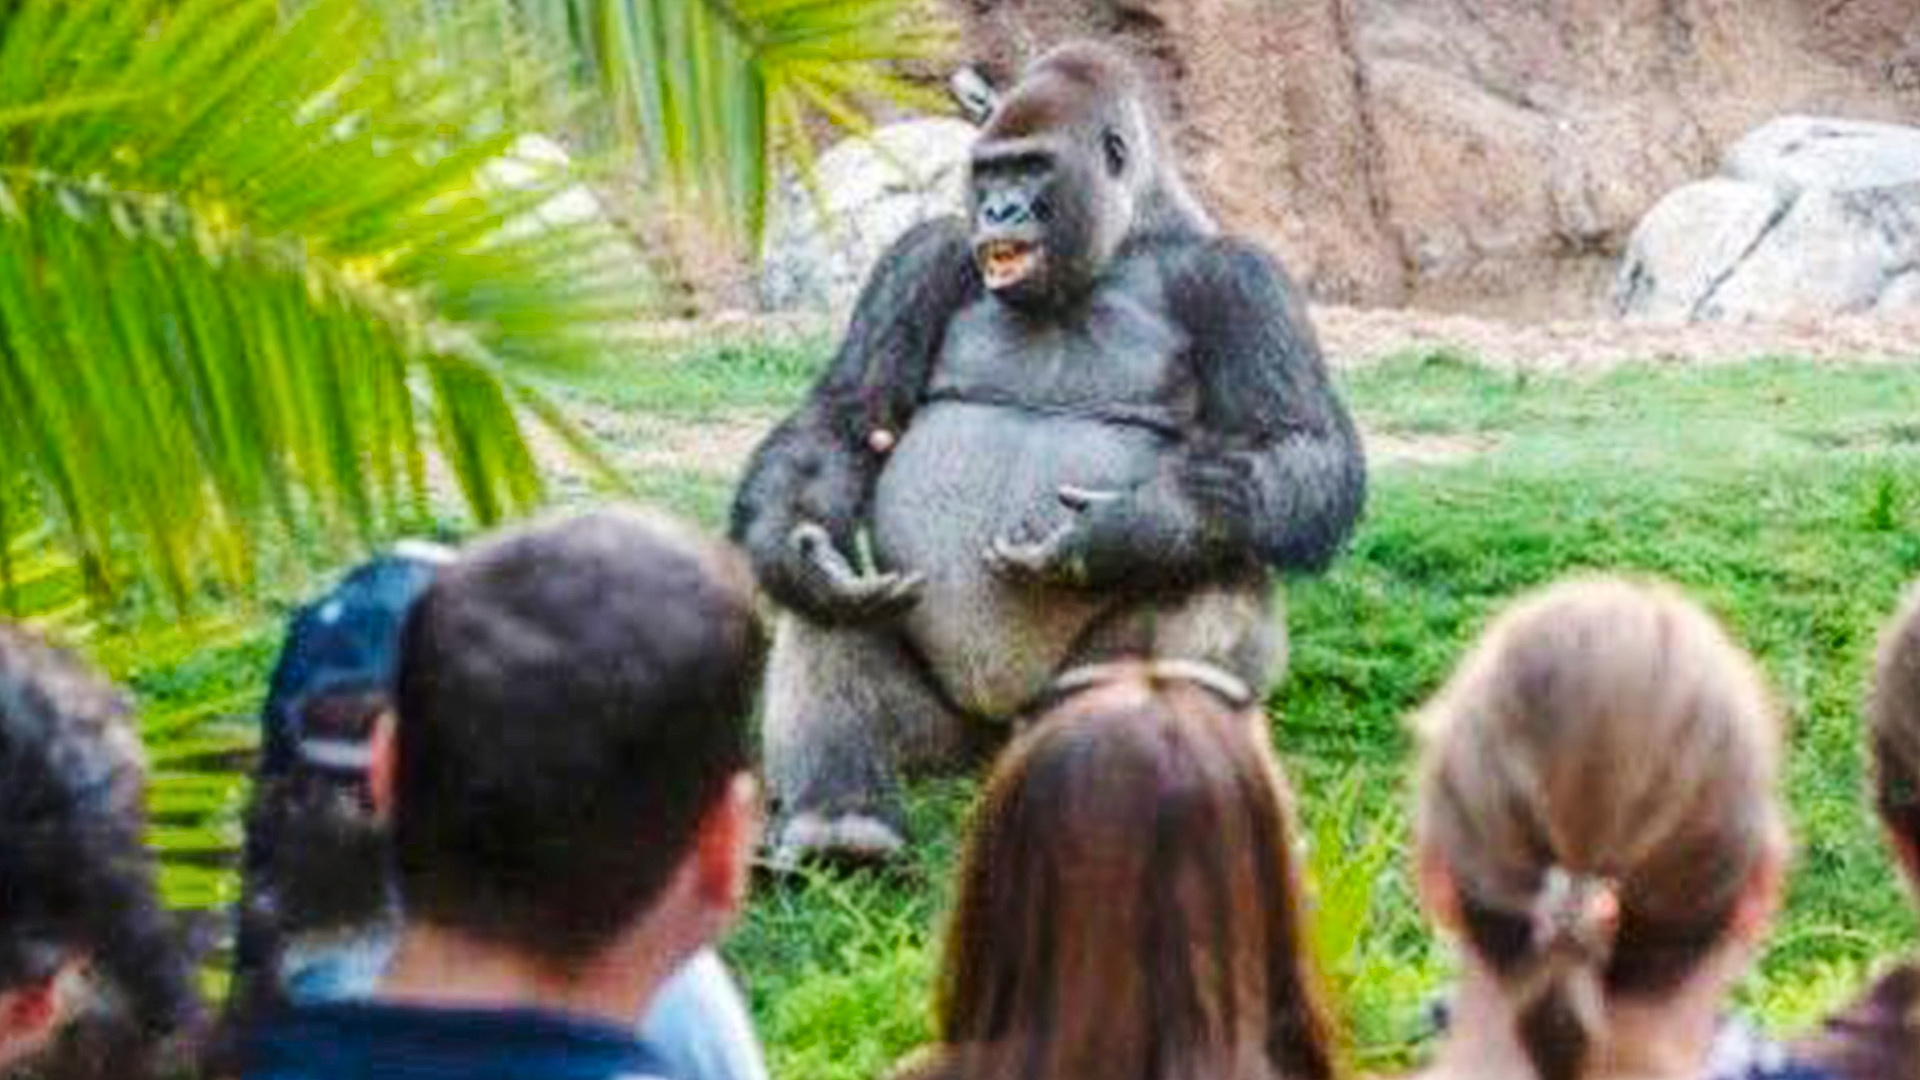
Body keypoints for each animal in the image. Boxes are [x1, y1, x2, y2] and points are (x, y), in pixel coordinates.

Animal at [731, 41, 1366, 864]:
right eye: (989, 172)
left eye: (1033, 169)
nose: (998, 211)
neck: (1128, 237)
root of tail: (994, 742)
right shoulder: (920, 257)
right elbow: (844, 419)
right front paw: (796, 552)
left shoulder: (1246, 280)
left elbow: (1305, 450)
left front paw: (1134, 524)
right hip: (945, 745)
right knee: (827, 610)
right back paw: (840, 823)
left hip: (1053, 722)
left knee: (1223, 565)